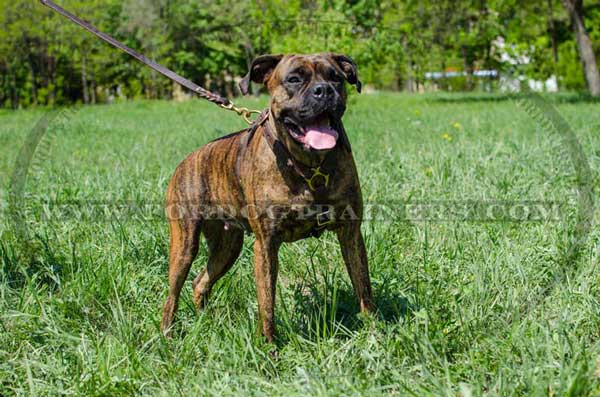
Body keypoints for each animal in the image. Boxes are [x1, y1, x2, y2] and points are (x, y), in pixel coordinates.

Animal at [159, 51, 376, 340]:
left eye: (336, 78)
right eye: (294, 79)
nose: (324, 90)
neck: (309, 166)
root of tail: (185, 161)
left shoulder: (351, 233)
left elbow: (363, 286)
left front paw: (374, 331)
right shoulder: (266, 245)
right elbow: (267, 303)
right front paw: (269, 345)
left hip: (227, 247)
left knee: (200, 281)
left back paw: (205, 320)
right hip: (184, 245)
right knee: (172, 294)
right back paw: (167, 335)